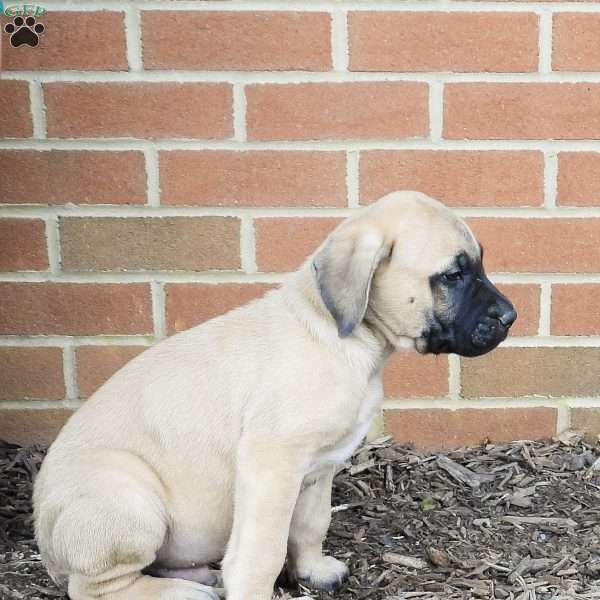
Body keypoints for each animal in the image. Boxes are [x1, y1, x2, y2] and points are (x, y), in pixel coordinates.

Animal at [35, 193, 516, 600]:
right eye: (453, 275)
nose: (510, 316)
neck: (341, 338)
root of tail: (44, 536)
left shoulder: (317, 469)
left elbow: (310, 525)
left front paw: (312, 571)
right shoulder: (272, 463)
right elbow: (262, 549)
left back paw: (200, 576)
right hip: (127, 500)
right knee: (96, 588)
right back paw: (183, 592)